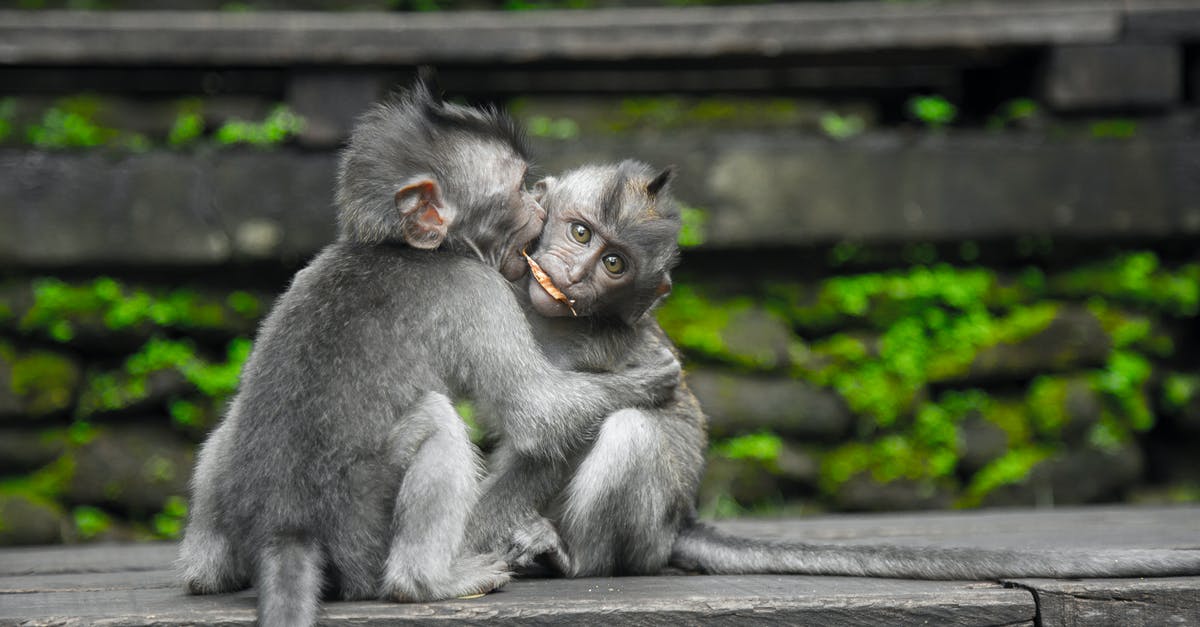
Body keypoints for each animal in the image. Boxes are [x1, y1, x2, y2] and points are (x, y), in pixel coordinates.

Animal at [177, 84, 686, 624]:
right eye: (517, 189)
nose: (538, 202)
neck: (401, 247)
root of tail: (285, 529)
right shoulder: (477, 290)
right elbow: (538, 413)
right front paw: (650, 378)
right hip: (363, 532)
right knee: (437, 424)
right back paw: (430, 581)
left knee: (231, 426)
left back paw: (207, 574)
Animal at [463, 158, 1200, 578]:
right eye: (580, 233)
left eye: (614, 264)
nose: (575, 275)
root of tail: (681, 521)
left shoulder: (600, 346)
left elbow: (559, 433)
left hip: (646, 529)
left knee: (632, 430)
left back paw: (576, 560)